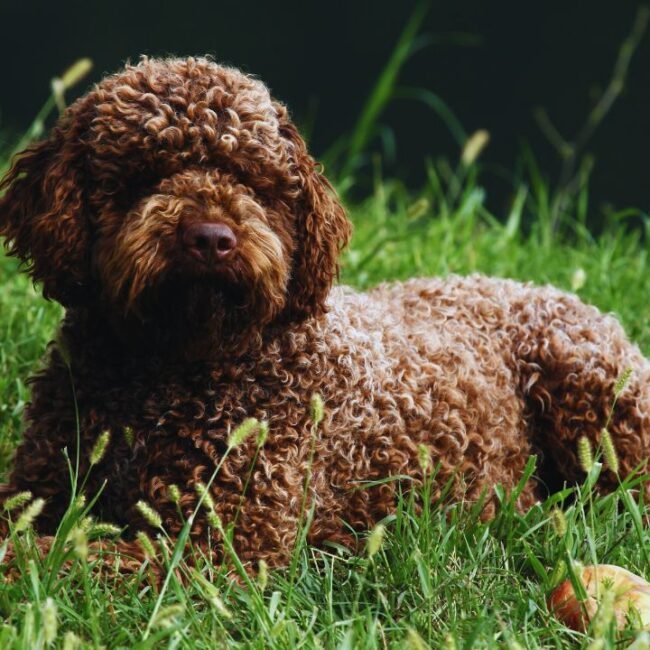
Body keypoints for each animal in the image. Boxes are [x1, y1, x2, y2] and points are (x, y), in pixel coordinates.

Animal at [1, 55, 648, 572]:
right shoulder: (40, 483)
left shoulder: (224, 544)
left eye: (254, 182)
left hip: (593, 397)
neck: (164, 370)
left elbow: (60, 554)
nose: (211, 239)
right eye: (146, 173)